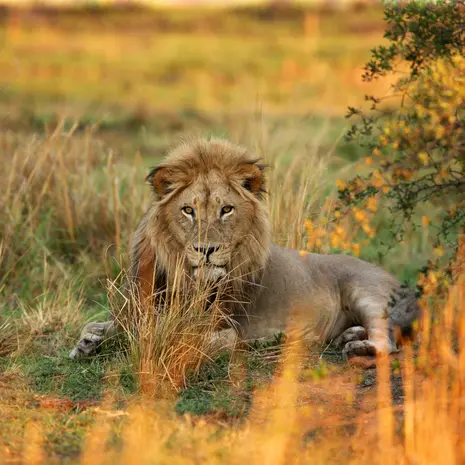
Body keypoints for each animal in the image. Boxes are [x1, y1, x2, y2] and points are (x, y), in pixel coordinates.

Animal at [70, 136, 420, 360]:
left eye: (226, 210)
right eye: (188, 210)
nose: (206, 249)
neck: (185, 276)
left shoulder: (230, 330)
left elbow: (181, 339)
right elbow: (109, 325)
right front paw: (88, 342)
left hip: (367, 292)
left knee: (388, 340)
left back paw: (357, 346)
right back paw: (349, 336)